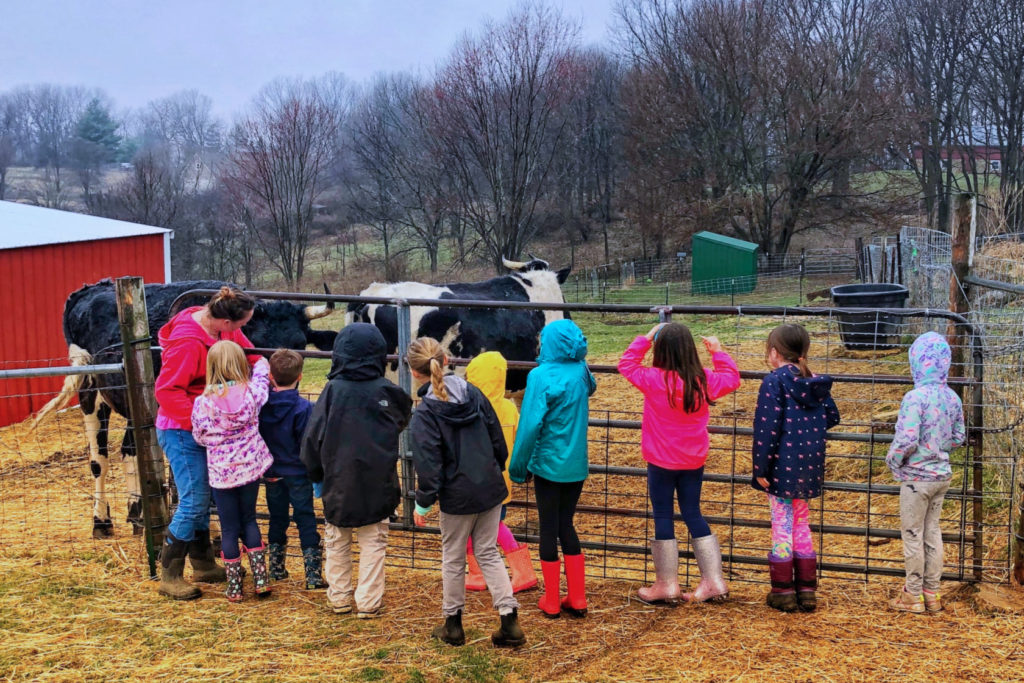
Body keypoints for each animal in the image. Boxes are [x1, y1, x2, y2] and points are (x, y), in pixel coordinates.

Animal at [30, 280, 335, 536]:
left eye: (299, 345)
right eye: (255, 344)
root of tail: (88, 289)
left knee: (129, 451)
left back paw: (136, 514)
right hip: (89, 391)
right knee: (99, 461)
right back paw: (101, 521)